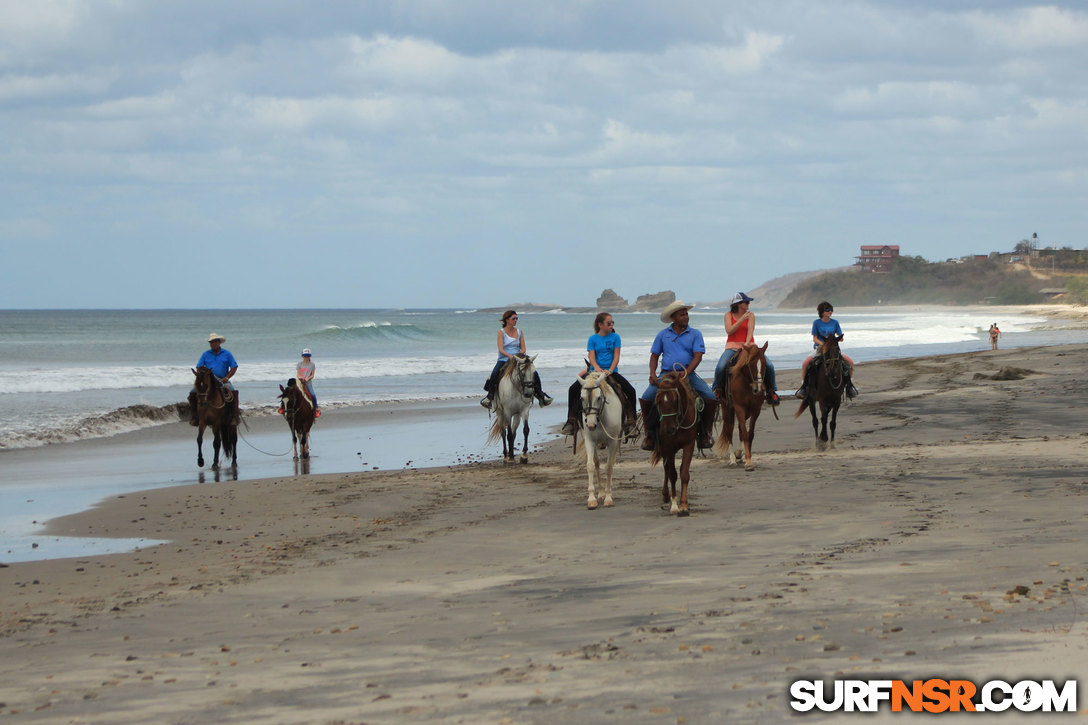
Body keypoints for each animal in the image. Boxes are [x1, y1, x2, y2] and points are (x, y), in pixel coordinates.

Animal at [578, 372, 622, 507]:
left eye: (598, 397)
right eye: (581, 398)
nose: (591, 425)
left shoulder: (613, 442)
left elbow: (608, 467)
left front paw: (608, 497)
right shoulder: (590, 441)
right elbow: (591, 465)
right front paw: (592, 498)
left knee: (611, 463)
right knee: (597, 463)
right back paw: (601, 493)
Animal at [648, 372, 700, 513]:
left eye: (675, 400)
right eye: (658, 401)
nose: (668, 429)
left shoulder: (689, 445)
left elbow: (684, 474)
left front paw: (684, 504)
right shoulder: (668, 447)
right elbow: (672, 474)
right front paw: (675, 505)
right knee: (666, 469)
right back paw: (666, 495)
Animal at [718, 343, 770, 472]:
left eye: (765, 364)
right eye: (750, 364)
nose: (759, 389)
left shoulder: (756, 409)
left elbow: (749, 434)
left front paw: (748, 458)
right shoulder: (739, 407)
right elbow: (744, 433)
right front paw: (748, 463)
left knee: (740, 429)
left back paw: (739, 454)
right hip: (727, 408)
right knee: (729, 430)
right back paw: (732, 459)